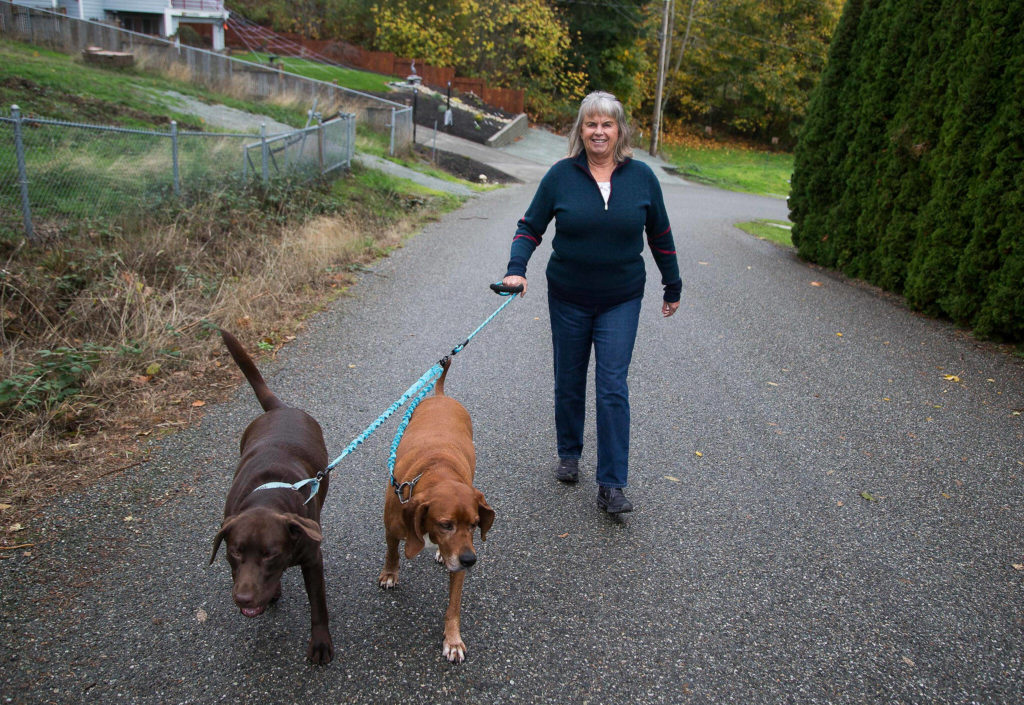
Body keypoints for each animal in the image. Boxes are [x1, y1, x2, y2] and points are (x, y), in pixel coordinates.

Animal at [209, 329, 333, 668]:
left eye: (270, 554)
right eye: (234, 552)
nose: (243, 599)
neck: (267, 498)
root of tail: (279, 408)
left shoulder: (312, 560)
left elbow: (318, 607)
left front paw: (320, 643)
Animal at [382, 360, 497, 664]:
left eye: (475, 524)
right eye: (445, 524)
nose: (471, 560)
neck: (437, 471)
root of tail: (440, 396)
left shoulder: (460, 561)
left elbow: (453, 606)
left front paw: (453, 640)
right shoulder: (392, 527)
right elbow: (392, 551)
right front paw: (390, 573)